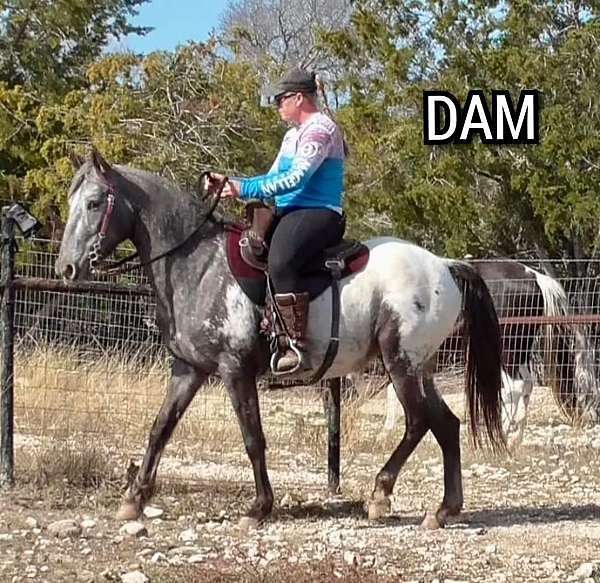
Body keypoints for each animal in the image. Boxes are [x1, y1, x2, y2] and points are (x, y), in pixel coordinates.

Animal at [55, 149, 506, 528]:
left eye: (94, 203)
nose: (67, 268)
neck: (198, 267)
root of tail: (444, 265)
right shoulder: (189, 369)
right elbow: (160, 428)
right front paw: (134, 498)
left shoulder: (234, 370)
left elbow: (253, 437)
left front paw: (258, 508)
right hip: (421, 366)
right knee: (446, 424)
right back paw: (444, 509)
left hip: (401, 362)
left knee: (418, 422)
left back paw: (380, 495)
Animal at [382, 260, 596, 448]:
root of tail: (533, 275)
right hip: (519, 350)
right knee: (527, 385)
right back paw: (515, 438)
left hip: (506, 350)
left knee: (515, 387)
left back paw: (503, 433)